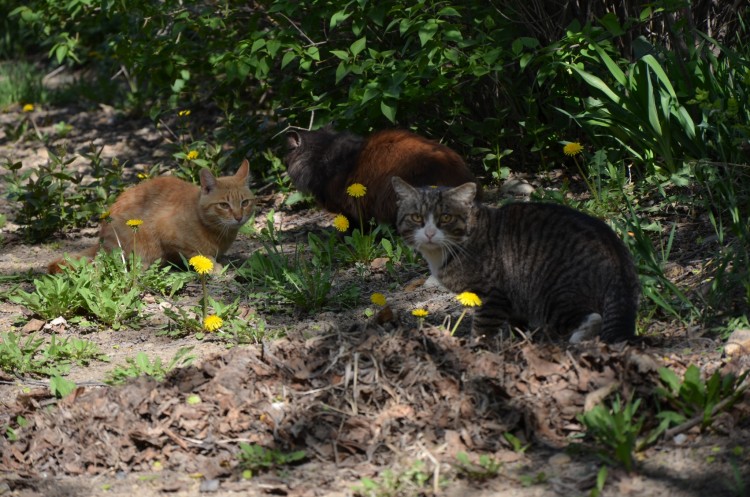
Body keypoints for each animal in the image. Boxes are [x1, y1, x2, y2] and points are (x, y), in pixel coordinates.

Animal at [50, 161, 258, 274]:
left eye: (245, 203)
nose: (238, 217)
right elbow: (197, 254)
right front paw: (213, 266)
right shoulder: (167, 234)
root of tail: (100, 240)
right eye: (224, 205)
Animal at [390, 176, 644, 342]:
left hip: (554, 297)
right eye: (417, 217)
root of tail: (617, 252)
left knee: (593, 317)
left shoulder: (491, 294)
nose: (429, 233)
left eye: (445, 217)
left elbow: (483, 330)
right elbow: (518, 327)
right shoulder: (514, 301)